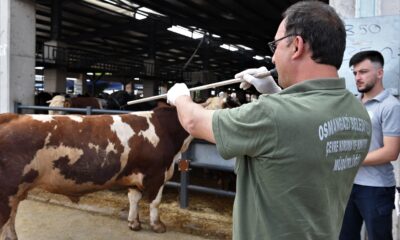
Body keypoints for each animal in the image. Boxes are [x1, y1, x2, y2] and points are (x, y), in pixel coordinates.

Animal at [0, 96, 230, 239]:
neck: (165, 129)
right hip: (7, 192)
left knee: (10, 223)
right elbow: (155, 202)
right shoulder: (156, 174)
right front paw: (157, 225)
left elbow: (134, 199)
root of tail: (11, 116)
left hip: (15, 194)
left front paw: (134, 223)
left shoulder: (135, 174)